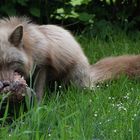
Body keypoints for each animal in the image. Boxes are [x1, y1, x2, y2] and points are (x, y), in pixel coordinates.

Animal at [0, 16, 139, 101]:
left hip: (74, 81)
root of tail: (89, 71)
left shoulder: (42, 66)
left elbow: (38, 93)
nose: (5, 84)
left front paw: (36, 111)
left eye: (11, 63)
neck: (30, 48)